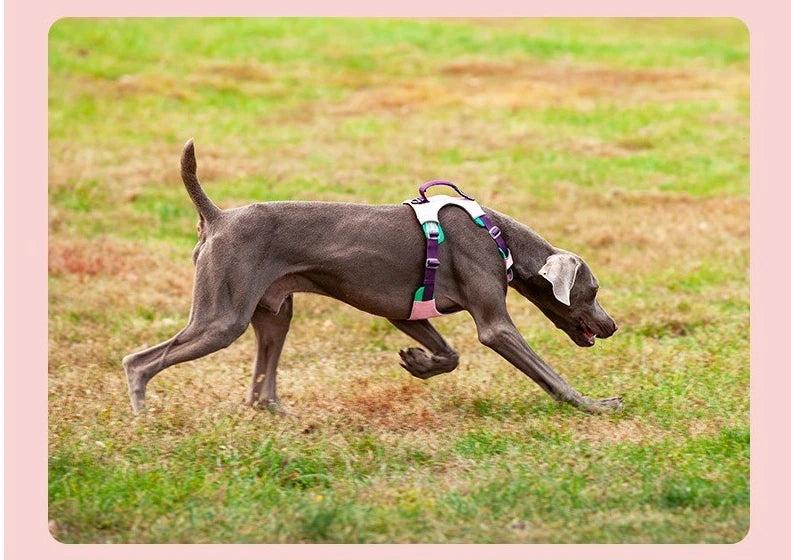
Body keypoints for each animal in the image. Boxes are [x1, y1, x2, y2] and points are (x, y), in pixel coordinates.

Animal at [122, 140, 624, 416]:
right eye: (594, 290)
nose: (613, 325)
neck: (500, 239)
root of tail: (218, 217)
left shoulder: (404, 309)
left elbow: (450, 354)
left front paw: (418, 362)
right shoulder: (495, 325)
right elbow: (548, 374)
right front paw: (596, 405)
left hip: (274, 311)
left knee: (261, 390)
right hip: (221, 316)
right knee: (139, 361)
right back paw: (143, 415)